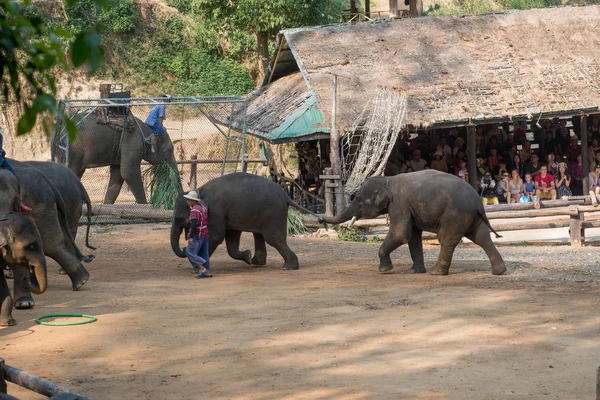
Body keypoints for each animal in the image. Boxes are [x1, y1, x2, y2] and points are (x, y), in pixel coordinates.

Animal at [171, 173, 316, 270]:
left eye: (178, 218)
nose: (184, 248)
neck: (199, 191)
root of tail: (286, 195)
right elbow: (231, 239)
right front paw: (247, 256)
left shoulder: (215, 211)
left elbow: (216, 236)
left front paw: (196, 267)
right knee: (259, 235)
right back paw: (256, 261)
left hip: (273, 212)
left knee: (273, 238)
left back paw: (288, 267)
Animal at [318, 169, 506, 276]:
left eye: (357, 199)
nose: (320, 219)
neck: (387, 179)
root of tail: (477, 200)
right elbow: (413, 236)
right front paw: (414, 271)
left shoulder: (399, 205)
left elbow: (401, 234)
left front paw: (384, 270)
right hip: (470, 216)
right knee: (482, 237)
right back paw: (499, 271)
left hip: (455, 214)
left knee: (447, 239)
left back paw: (436, 273)